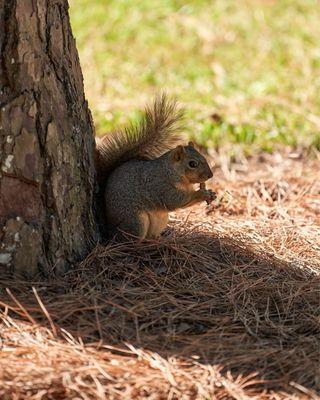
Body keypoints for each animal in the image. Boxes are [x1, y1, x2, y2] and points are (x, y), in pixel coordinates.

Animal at [95, 94, 215, 241]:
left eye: (203, 156)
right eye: (192, 164)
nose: (210, 175)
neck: (171, 172)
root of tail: (110, 231)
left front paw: (211, 194)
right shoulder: (159, 185)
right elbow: (174, 201)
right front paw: (201, 194)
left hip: (160, 219)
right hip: (135, 222)